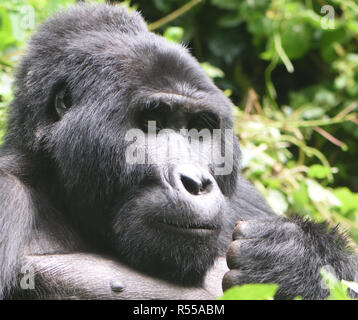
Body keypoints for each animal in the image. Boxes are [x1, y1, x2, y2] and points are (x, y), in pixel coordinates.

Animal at [0, 3, 356, 300]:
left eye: (198, 126)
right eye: (154, 122)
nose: (196, 183)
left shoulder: (245, 197)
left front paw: (299, 261)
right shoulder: (7, 193)